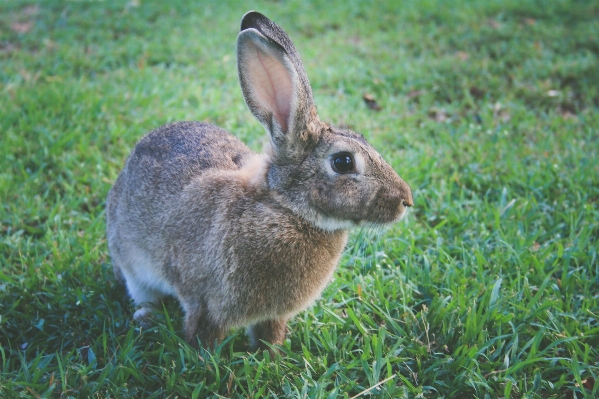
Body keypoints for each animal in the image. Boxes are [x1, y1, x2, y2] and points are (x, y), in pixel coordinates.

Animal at [106, 10, 412, 352]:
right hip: (131, 262)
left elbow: (269, 333)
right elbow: (202, 332)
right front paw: (205, 357)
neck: (285, 208)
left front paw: (272, 354)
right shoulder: (204, 303)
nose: (406, 200)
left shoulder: (273, 315)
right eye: (343, 162)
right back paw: (146, 316)